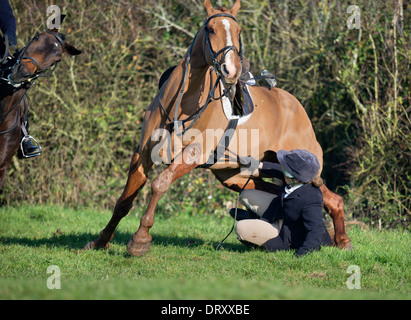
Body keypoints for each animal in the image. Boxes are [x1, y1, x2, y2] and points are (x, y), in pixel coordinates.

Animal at [85, 0, 352, 255]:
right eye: (210, 29)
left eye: (238, 31)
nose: (231, 71)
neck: (181, 106)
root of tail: (296, 106)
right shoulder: (142, 155)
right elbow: (124, 201)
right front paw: (101, 241)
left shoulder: (192, 155)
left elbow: (160, 184)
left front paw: (140, 240)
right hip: (239, 175)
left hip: (304, 170)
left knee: (333, 199)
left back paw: (342, 241)